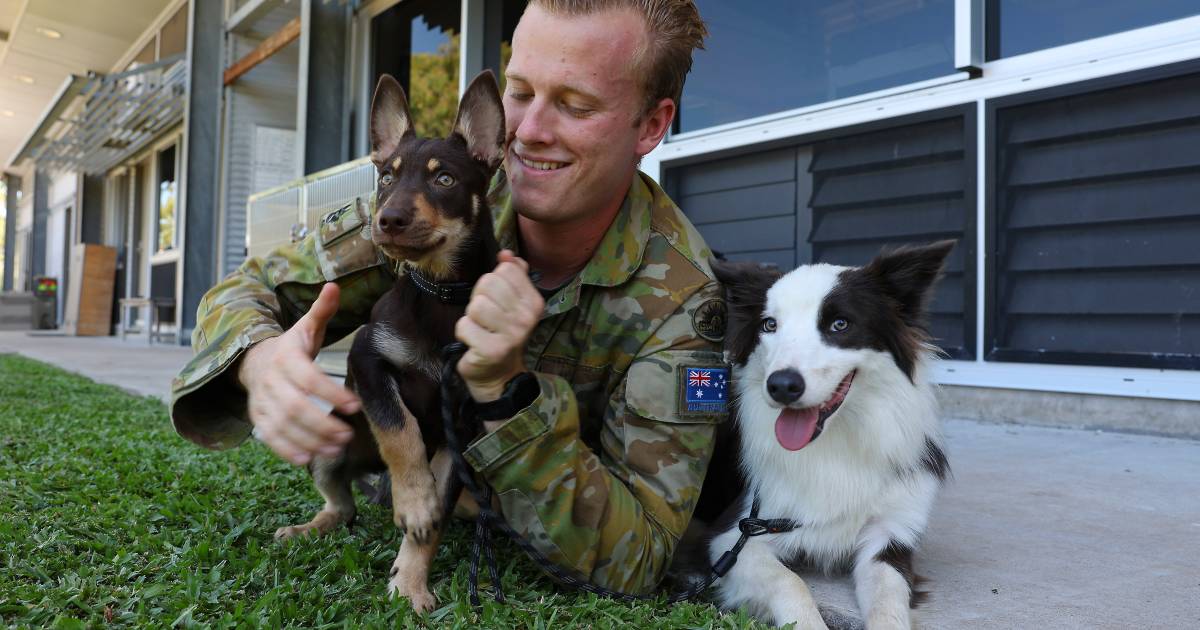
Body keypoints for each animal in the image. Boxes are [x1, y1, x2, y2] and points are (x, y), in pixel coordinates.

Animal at [273, 72, 506, 609]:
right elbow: (400, 431)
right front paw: (414, 502)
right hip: (329, 447)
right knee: (341, 504)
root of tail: (370, 471)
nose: (389, 220)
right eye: (385, 178)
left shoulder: (458, 425)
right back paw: (308, 528)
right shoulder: (368, 363)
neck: (441, 292)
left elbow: (434, 513)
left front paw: (409, 584)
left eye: (445, 180)